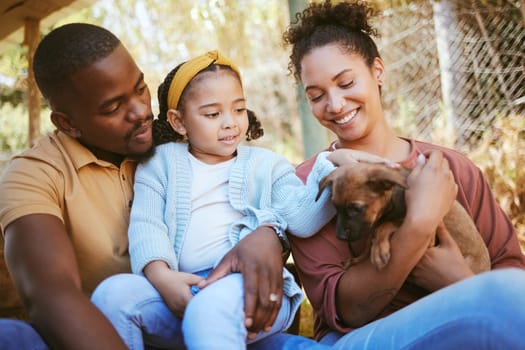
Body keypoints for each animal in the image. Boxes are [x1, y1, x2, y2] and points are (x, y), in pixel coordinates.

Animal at [316, 161, 492, 274]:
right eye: (334, 207)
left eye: (356, 208)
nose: (340, 236)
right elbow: (368, 243)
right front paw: (356, 260)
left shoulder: (428, 237)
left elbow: (385, 225)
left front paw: (378, 249)